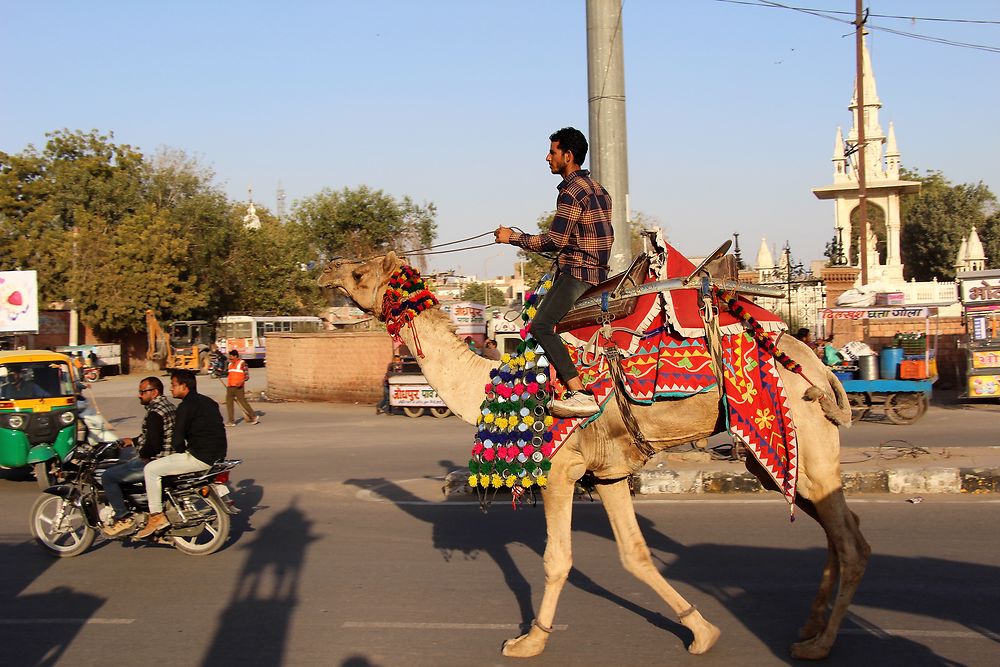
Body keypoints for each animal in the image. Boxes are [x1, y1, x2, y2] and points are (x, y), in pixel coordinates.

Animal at [318, 253, 868, 660]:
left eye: (361, 274)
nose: (325, 271)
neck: (486, 386)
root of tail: (821, 365)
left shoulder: (561, 471)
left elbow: (557, 559)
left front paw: (530, 640)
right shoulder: (607, 475)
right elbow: (634, 555)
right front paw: (701, 630)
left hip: (802, 442)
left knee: (850, 541)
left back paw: (820, 643)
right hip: (773, 458)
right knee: (840, 531)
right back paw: (809, 627)